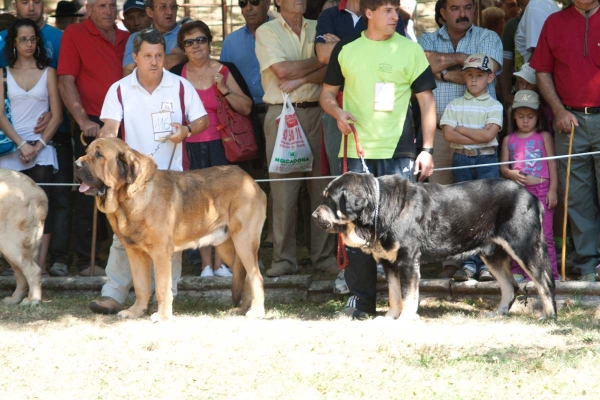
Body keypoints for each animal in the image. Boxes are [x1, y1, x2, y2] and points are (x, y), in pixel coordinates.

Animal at [74, 138, 266, 322]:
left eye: (99, 155)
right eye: (87, 151)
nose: (76, 164)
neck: (128, 198)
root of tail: (250, 181)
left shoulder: (160, 253)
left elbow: (161, 287)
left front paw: (162, 316)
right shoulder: (135, 253)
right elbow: (140, 286)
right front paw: (135, 312)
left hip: (243, 242)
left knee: (256, 276)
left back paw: (256, 312)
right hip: (227, 248)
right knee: (246, 276)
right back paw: (242, 309)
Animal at [314, 173, 556, 320]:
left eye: (330, 200)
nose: (314, 215)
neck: (379, 207)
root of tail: (532, 197)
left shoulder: (408, 261)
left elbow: (408, 295)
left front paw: (405, 319)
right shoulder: (390, 263)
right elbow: (394, 294)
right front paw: (390, 317)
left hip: (525, 247)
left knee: (544, 282)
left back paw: (549, 316)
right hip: (493, 255)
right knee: (510, 287)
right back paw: (499, 314)